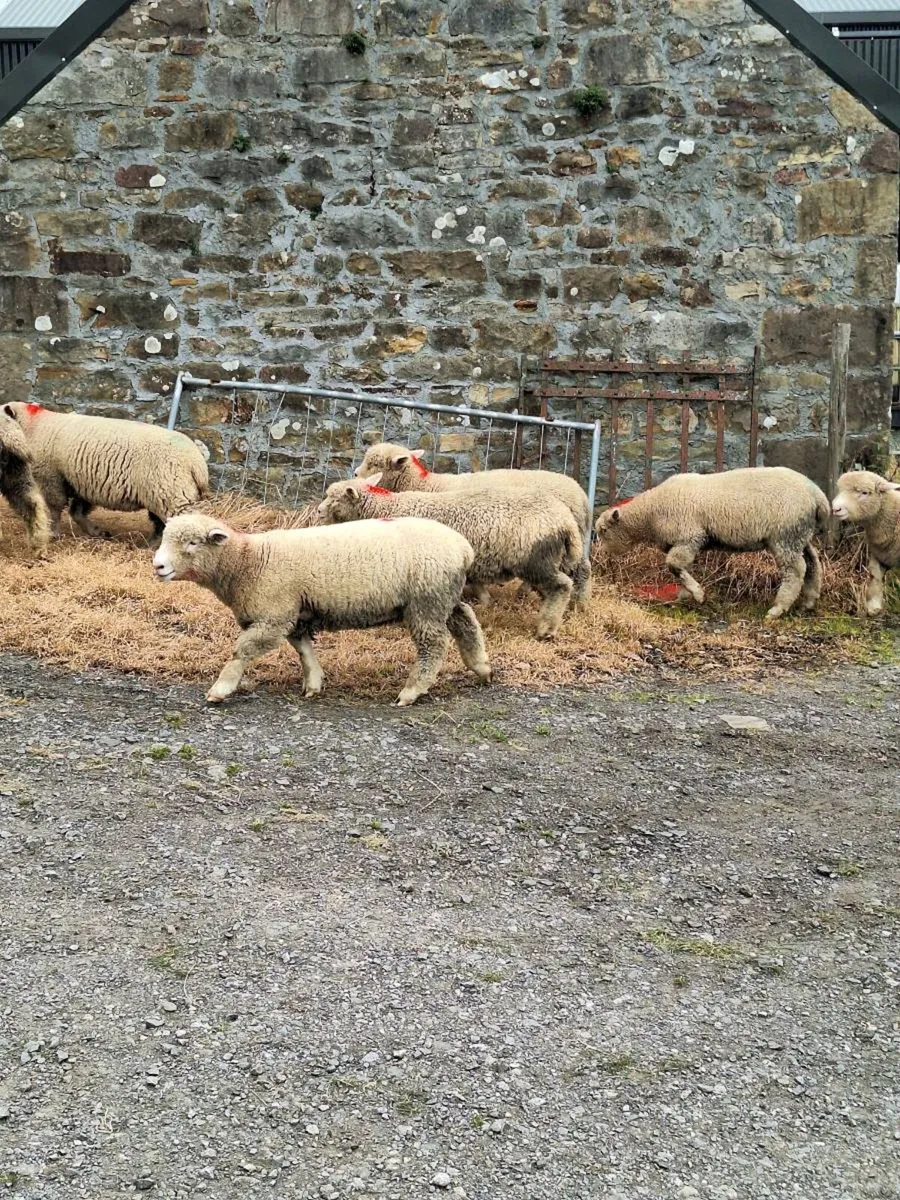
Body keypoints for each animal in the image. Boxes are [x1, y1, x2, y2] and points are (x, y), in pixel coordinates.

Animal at [2, 402, 208, 544]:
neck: (33, 425)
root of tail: (197, 464)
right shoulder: (80, 481)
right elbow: (77, 512)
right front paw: (98, 532)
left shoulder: (51, 476)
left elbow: (55, 508)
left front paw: (53, 533)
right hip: (162, 494)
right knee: (160, 524)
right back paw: (150, 544)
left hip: (172, 492)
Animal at [152, 511, 492, 706]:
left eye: (193, 543)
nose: (158, 566)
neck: (249, 561)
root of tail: (463, 547)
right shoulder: (294, 612)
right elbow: (303, 649)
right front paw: (314, 682)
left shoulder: (273, 616)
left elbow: (242, 651)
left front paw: (221, 688)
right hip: (442, 596)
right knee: (465, 619)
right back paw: (481, 667)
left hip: (426, 600)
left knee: (434, 645)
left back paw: (411, 692)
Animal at [317, 476, 592, 638]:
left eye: (335, 498)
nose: (318, 512)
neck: (386, 508)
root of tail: (564, 519)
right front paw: (483, 601)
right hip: (553, 558)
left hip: (536, 559)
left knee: (562, 585)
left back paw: (547, 627)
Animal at [594, 466, 831, 620]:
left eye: (604, 531)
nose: (603, 554)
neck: (650, 513)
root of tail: (817, 496)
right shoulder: (685, 542)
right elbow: (680, 568)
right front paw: (685, 594)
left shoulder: (689, 536)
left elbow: (674, 565)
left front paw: (697, 594)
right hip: (799, 534)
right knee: (813, 563)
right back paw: (809, 601)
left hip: (785, 534)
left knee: (796, 570)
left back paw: (778, 608)